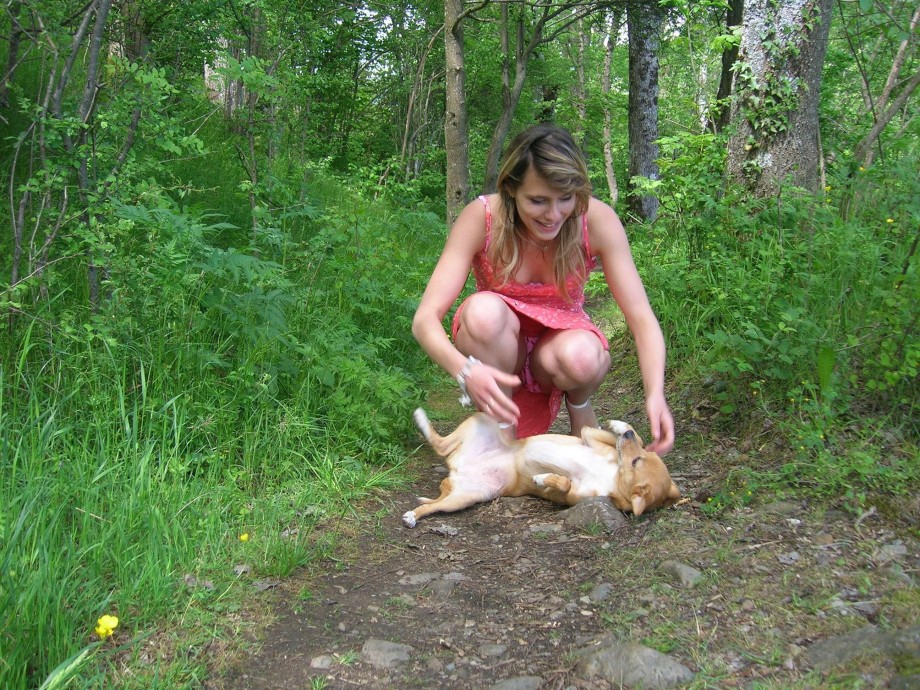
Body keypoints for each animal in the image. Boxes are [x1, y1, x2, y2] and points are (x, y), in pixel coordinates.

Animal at [404, 408, 684, 528]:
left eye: (636, 462)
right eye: (642, 458)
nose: (625, 435)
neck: (612, 475)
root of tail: (457, 470)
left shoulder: (569, 496)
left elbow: (564, 482)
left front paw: (542, 478)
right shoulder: (589, 438)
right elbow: (621, 435)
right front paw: (619, 425)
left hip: (467, 496)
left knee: (436, 489)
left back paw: (413, 516)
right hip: (484, 419)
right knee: (440, 443)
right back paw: (420, 417)